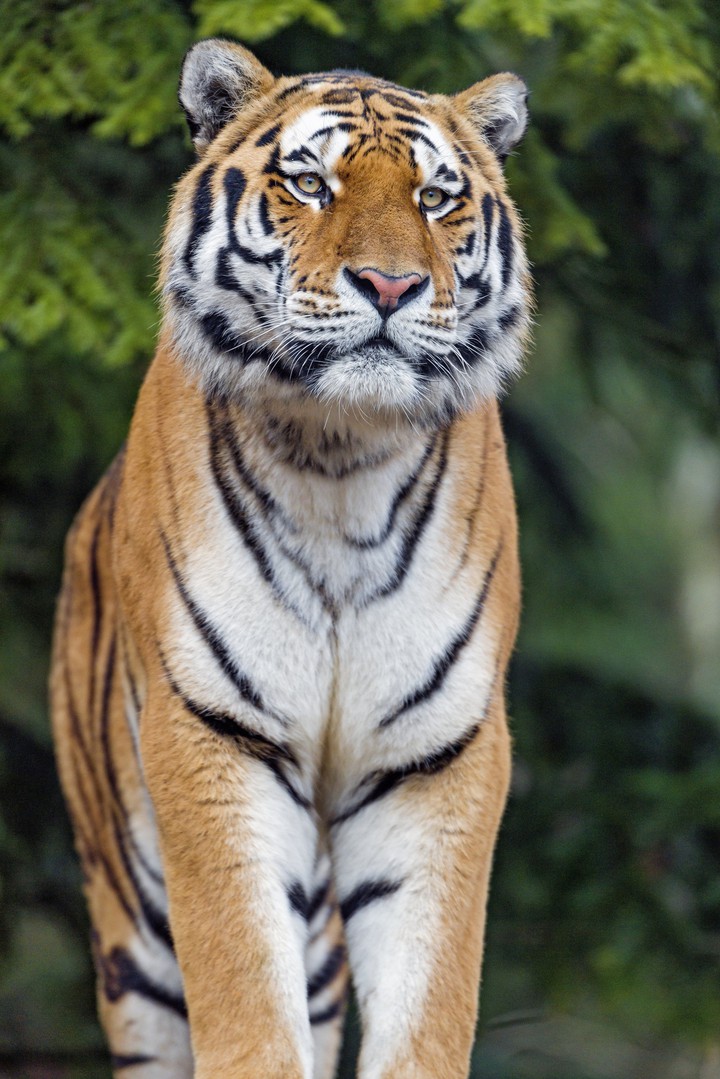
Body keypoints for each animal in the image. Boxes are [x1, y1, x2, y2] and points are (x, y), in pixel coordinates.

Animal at [50, 37, 532, 1079]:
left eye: (437, 196)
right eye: (311, 182)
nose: (390, 286)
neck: (340, 458)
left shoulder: (440, 753)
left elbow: (431, 1000)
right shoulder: (210, 728)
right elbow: (242, 986)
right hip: (132, 922)